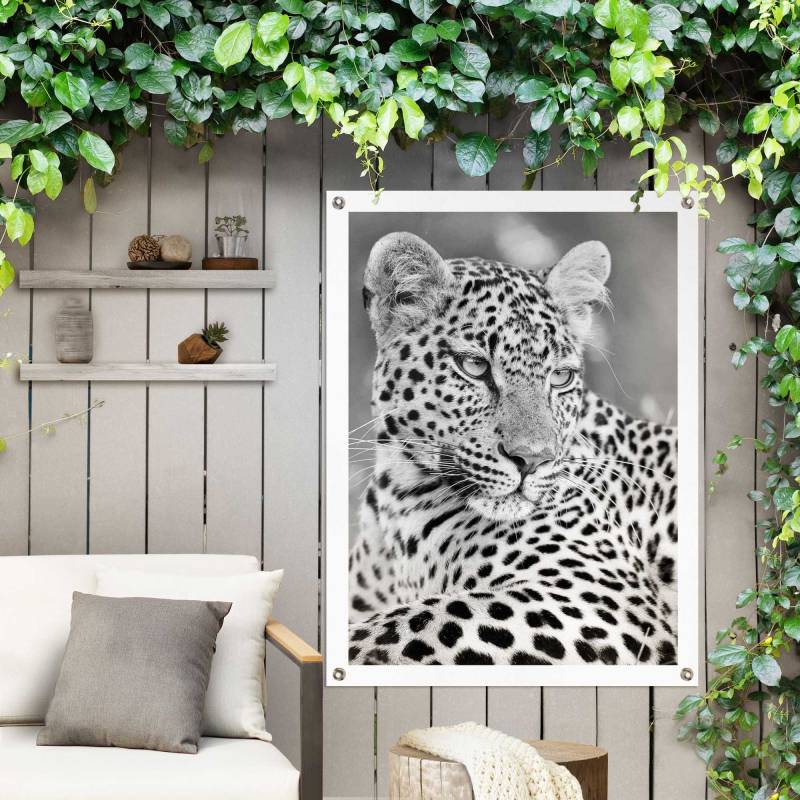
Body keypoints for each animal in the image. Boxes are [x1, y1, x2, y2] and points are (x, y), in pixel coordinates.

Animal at [347, 231, 678, 667]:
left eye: (560, 377)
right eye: (474, 367)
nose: (533, 460)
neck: (400, 499)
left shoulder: (598, 596)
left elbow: (410, 624)